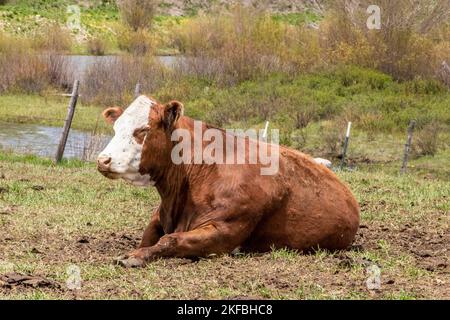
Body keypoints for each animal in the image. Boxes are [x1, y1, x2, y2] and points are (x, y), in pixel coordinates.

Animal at [96, 95, 360, 268]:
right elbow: (150, 236)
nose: (102, 159)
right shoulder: (160, 217)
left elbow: (170, 240)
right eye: (116, 128)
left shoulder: (225, 231)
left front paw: (135, 256)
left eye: (142, 130)